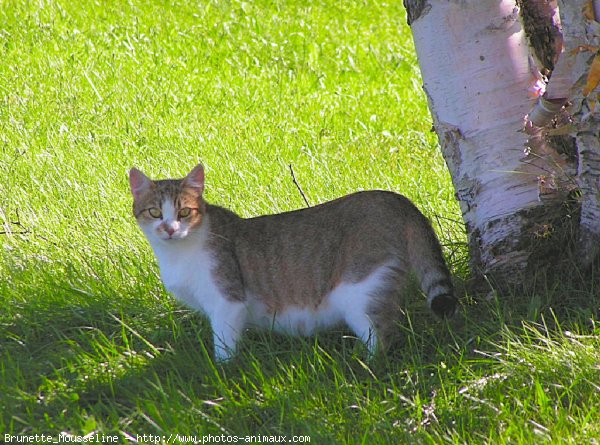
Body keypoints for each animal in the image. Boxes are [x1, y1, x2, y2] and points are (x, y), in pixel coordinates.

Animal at [129, 163, 458, 360]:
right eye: (155, 212)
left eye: (184, 212)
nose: (169, 229)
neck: (177, 252)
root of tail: (398, 199)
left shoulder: (227, 303)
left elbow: (224, 347)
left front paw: (223, 370)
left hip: (359, 290)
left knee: (384, 337)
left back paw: (363, 366)